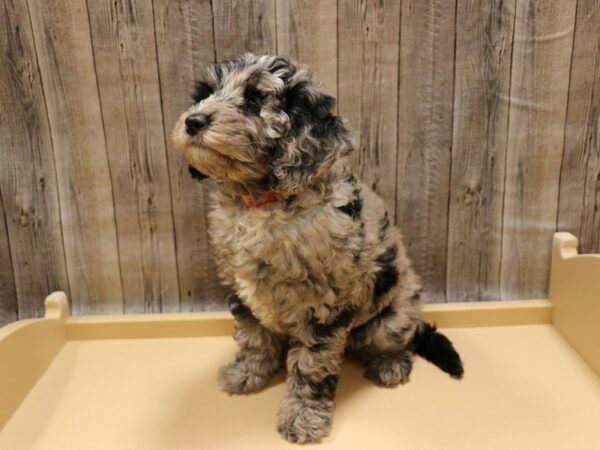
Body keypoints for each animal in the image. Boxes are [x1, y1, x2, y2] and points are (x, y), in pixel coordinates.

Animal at [173, 53, 464, 442]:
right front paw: (247, 372)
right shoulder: (239, 287)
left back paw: (390, 364)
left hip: (392, 315)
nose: (193, 121)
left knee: (400, 338)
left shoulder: (323, 302)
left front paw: (302, 415)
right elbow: (253, 335)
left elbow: (311, 364)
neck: (261, 202)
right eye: (205, 94)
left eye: (254, 100)